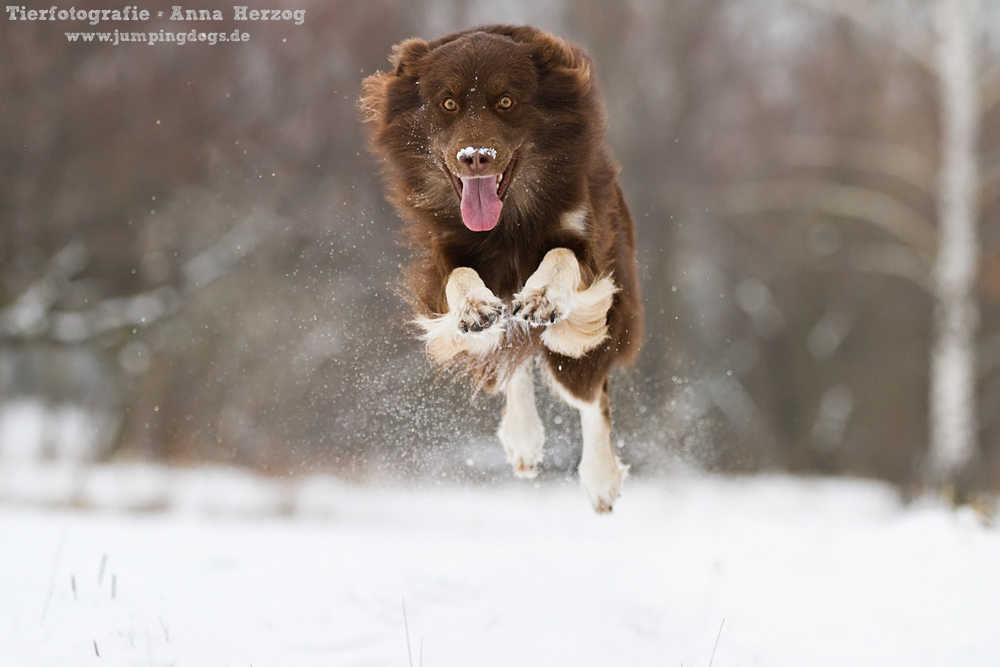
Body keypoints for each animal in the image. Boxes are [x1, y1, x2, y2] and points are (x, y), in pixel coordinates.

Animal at [364, 24, 644, 512]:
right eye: (448, 104)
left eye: (507, 102)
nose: (475, 155)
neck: (507, 222)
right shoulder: (442, 251)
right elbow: (459, 281)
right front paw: (474, 306)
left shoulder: (589, 242)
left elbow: (560, 256)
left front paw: (543, 296)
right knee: (511, 348)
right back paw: (523, 437)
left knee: (588, 388)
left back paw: (600, 477)